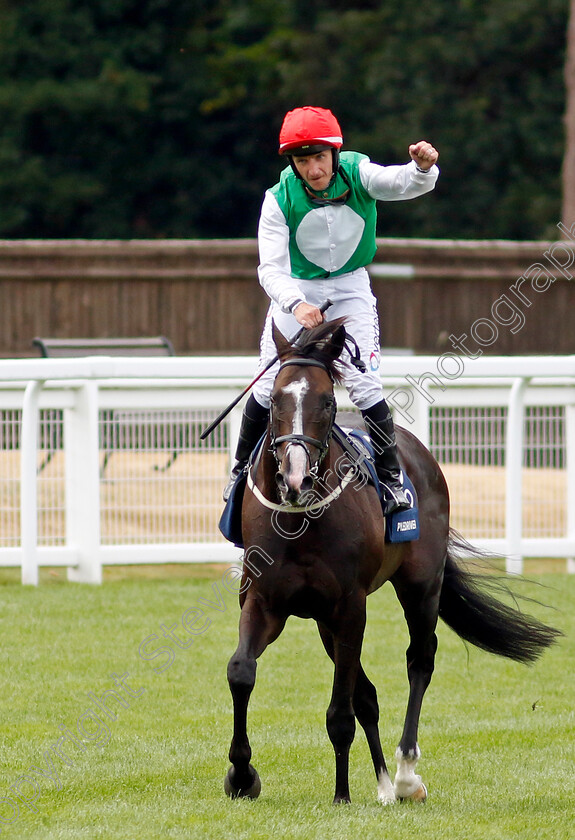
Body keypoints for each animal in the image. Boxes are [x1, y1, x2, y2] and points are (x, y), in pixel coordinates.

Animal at [225, 320, 564, 808]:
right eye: (272, 402)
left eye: (327, 402)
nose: (294, 478)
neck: (299, 520)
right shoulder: (265, 601)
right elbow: (242, 672)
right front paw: (241, 774)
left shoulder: (350, 607)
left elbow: (340, 710)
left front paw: (341, 794)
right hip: (326, 620)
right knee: (367, 693)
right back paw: (386, 783)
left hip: (420, 586)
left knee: (420, 661)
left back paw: (404, 774)